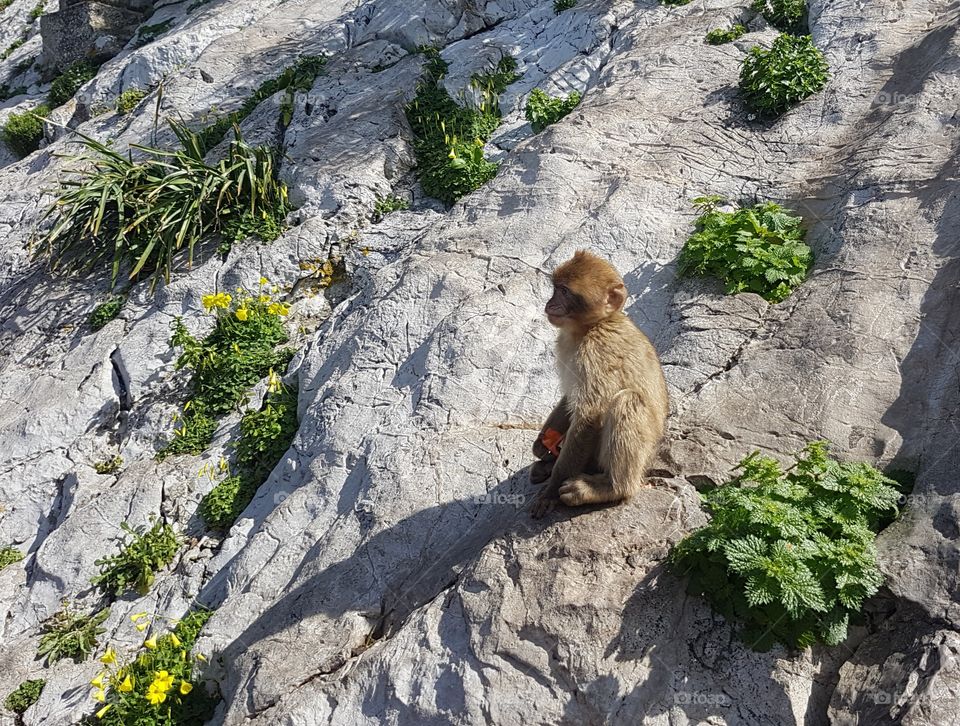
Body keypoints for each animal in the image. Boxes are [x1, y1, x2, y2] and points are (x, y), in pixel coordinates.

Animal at [530, 250, 668, 518]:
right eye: (556, 288)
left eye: (565, 292)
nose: (550, 304)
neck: (590, 327)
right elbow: (571, 396)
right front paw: (542, 444)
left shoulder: (597, 351)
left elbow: (590, 414)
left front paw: (550, 492)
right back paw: (546, 464)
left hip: (640, 456)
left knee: (628, 400)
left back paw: (610, 488)